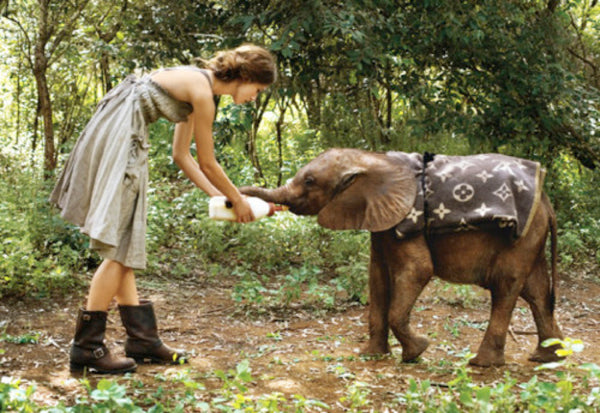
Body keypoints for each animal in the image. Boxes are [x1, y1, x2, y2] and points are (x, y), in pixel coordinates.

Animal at [240, 148, 564, 366]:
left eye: (309, 181)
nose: (237, 198)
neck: (369, 158)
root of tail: (548, 202)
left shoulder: (406, 218)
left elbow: (418, 269)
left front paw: (417, 351)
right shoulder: (381, 217)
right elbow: (377, 278)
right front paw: (370, 355)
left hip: (522, 235)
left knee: (505, 285)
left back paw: (481, 363)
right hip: (532, 236)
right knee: (535, 290)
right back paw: (547, 357)